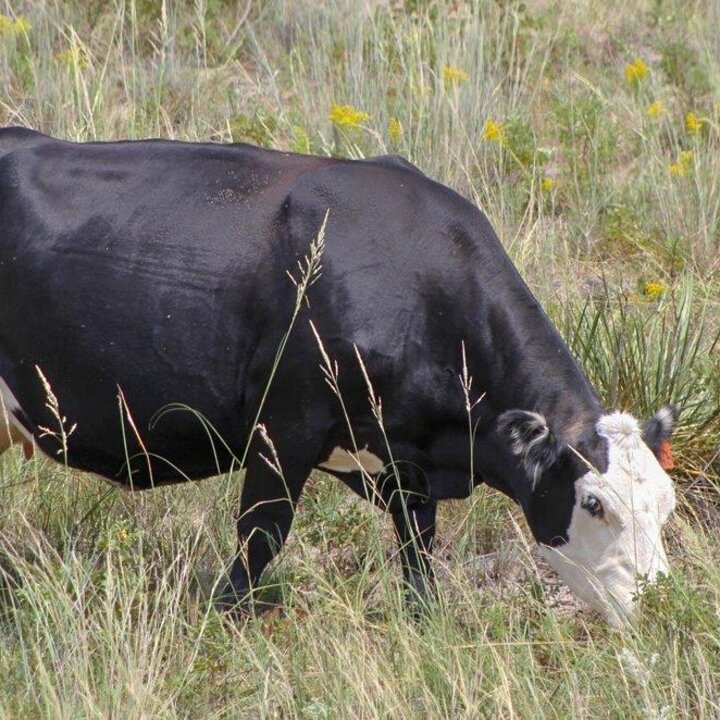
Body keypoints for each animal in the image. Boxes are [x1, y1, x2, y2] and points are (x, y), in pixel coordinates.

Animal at [0, 127, 677, 626]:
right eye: (593, 503)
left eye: (668, 504)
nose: (659, 604)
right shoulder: (285, 427)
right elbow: (261, 535)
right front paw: (221, 624)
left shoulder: (405, 463)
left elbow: (417, 552)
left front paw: (423, 624)